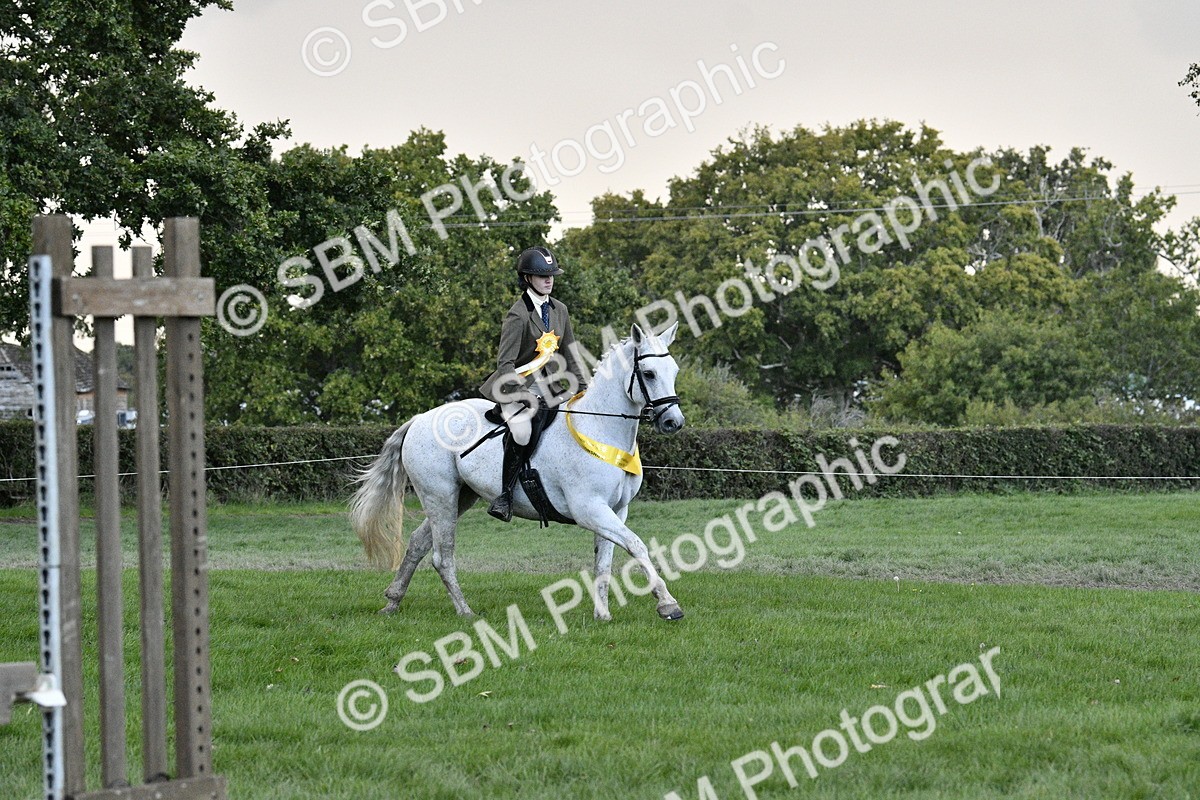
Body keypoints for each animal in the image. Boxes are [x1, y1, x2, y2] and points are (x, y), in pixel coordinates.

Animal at [349, 322, 687, 621]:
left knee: (419, 544)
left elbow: (604, 562)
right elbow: (636, 545)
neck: (600, 428)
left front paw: (602, 615)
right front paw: (667, 604)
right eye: (648, 373)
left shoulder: (616, 510)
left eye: (674, 372)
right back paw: (465, 611)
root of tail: (420, 418)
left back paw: (392, 601)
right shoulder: (590, 509)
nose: (674, 422)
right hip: (440, 496)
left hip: (460, 497)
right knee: (442, 556)